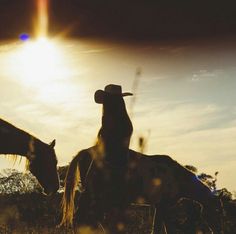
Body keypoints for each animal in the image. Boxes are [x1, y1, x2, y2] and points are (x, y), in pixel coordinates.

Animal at [60, 85, 223, 233]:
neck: (176, 177)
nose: (218, 229)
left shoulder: (159, 207)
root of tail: (84, 152)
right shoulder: (163, 206)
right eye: (217, 211)